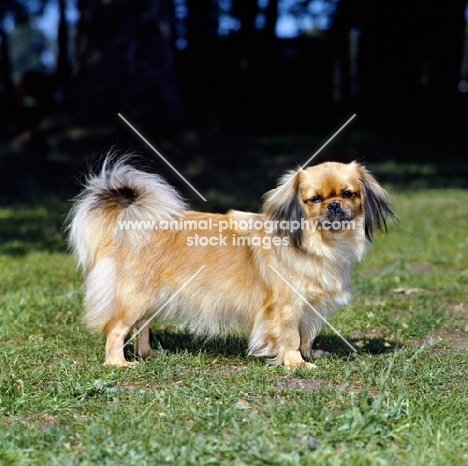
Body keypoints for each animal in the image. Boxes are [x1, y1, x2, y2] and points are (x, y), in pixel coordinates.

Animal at [67, 157, 394, 368]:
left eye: (349, 194)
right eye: (314, 199)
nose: (334, 205)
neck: (322, 244)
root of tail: (129, 222)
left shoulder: (308, 309)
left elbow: (306, 336)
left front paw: (310, 354)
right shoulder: (287, 308)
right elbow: (290, 337)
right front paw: (296, 364)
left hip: (151, 300)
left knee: (141, 328)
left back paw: (147, 355)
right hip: (136, 297)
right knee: (117, 329)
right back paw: (119, 364)